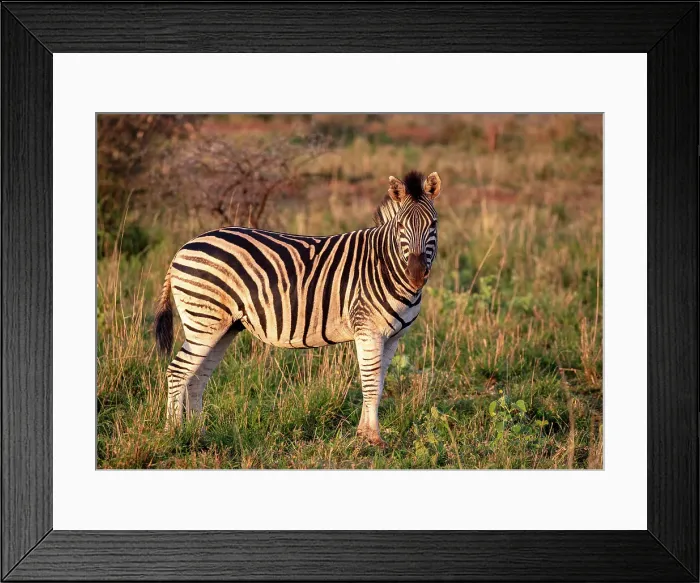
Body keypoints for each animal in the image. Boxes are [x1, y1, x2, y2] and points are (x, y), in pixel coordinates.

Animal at [154, 170, 441, 447]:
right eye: (401, 226)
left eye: (433, 224)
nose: (416, 275)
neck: (385, 264)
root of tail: (183, 248)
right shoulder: (367, 329)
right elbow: (370, 384)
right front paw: (373, 438)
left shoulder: (393, 337)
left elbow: (379, 384)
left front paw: (364, 433)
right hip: (204, 321)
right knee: (178, 371)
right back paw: (174, 434)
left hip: (223, 327)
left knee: (197, 376)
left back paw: (199, 434)